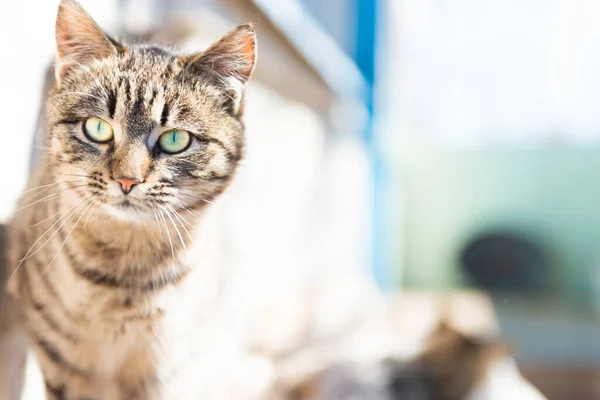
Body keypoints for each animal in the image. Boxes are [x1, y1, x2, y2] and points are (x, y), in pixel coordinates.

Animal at [5, 1, 258, 398]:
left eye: (175, 139)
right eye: (97, 128)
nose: (127, 179)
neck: (123, 275)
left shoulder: (162, 368)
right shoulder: (61, 361)